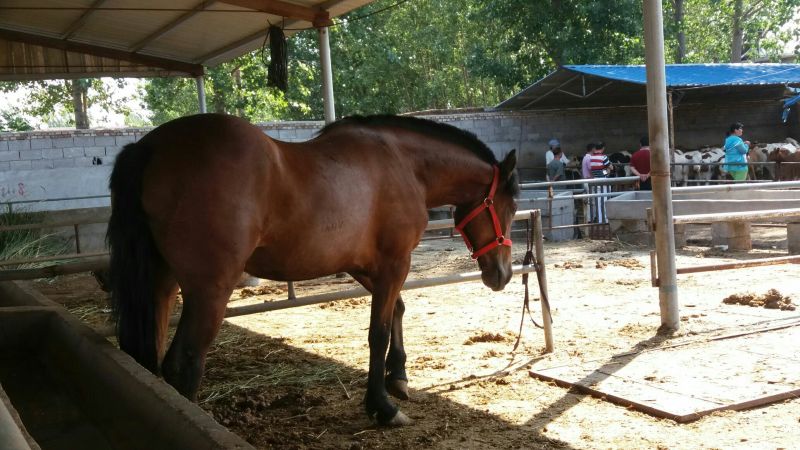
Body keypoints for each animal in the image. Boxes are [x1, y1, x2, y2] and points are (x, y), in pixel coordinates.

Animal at [107, 113, 520, 427]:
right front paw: (382, 407)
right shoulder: (394, 263)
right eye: (512, 206)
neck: (404, 164)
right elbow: (378, 333)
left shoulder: (364, 266)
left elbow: (397, 312)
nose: (502, 274)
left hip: (162, 286)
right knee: (184, 363)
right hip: (209, 292)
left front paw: (398, 377)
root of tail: (150, 147)